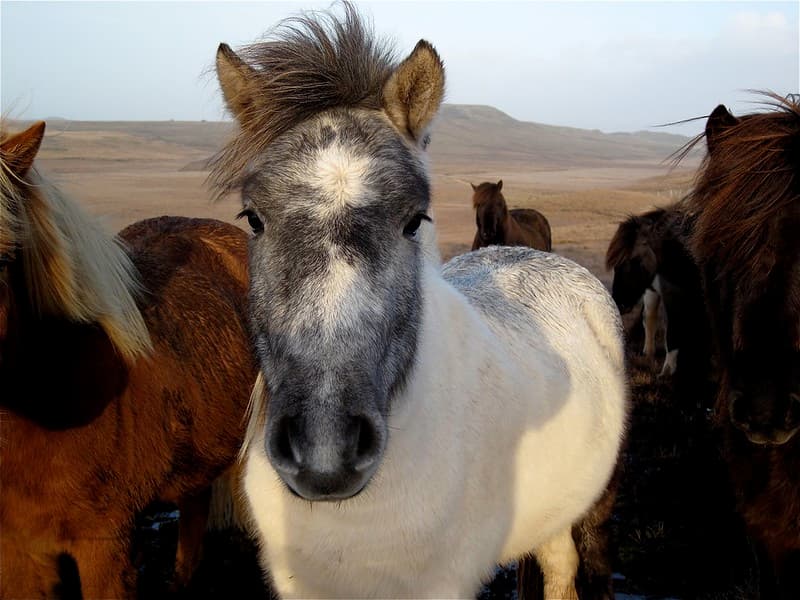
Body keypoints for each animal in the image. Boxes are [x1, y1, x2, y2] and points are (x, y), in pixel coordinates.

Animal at [605, 205, 707, 379]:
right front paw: (668, 371)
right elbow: (672, 331)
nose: (620, 303)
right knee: (650, 318)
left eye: (635, 261)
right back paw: (649, 353)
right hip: (651, 292)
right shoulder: (672, 296)